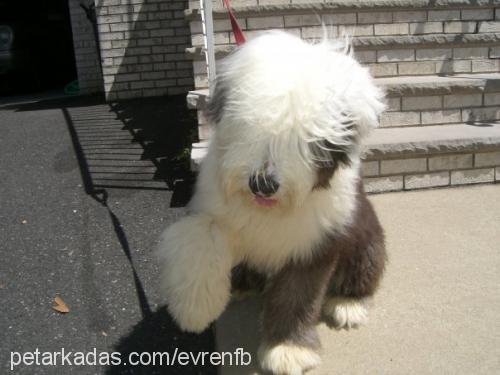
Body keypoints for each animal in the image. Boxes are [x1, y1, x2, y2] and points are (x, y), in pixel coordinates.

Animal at [158, 30, 384, 374]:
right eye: (250, 126)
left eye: (304, 138)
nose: (262, 184)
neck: (269, 213)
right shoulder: (212, 207)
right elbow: (200, 236)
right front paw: (195, 309)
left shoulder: (313, 245)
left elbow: (296, 295)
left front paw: (288, 349)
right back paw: (241, 285)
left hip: (366, 238)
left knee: (365, 270)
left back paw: (348, 305)